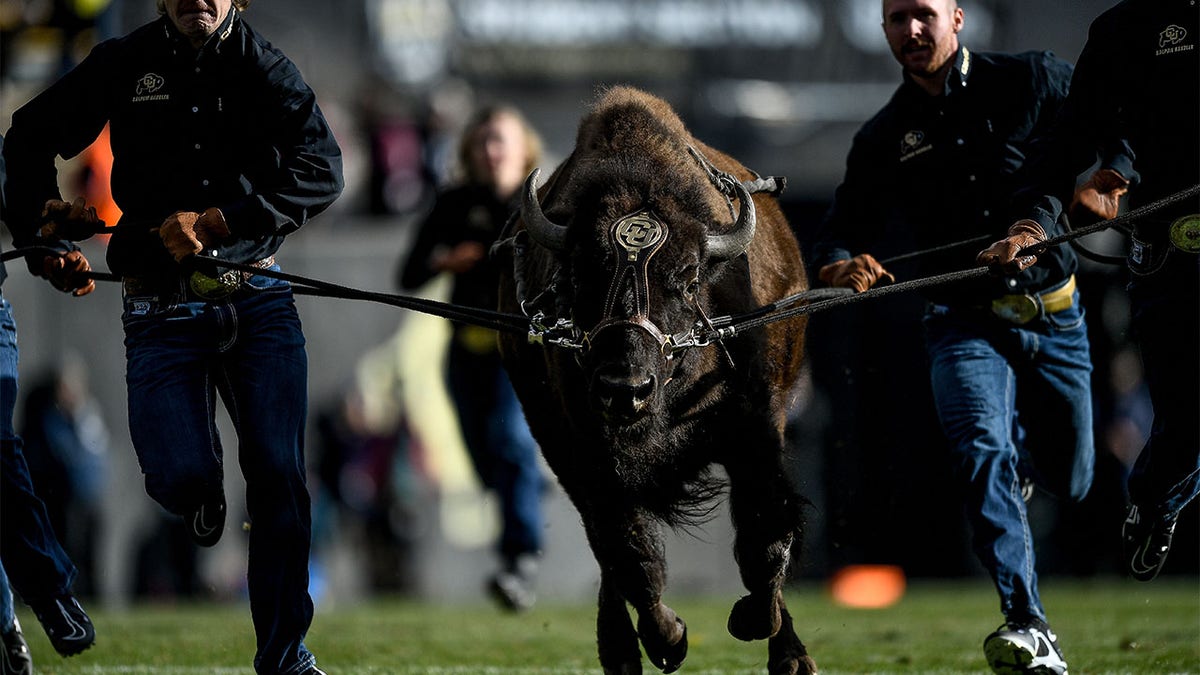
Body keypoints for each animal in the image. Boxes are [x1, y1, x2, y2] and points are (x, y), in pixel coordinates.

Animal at [489, 86, 816, 667]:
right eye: (579, 276)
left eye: (686, 278)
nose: (626, 390)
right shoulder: (582, 449)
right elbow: (625, 549)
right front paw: (668, 638)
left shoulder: (755, 426)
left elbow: (766, 532)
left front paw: (762, 630)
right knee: (608, 551)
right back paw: (621, 649)